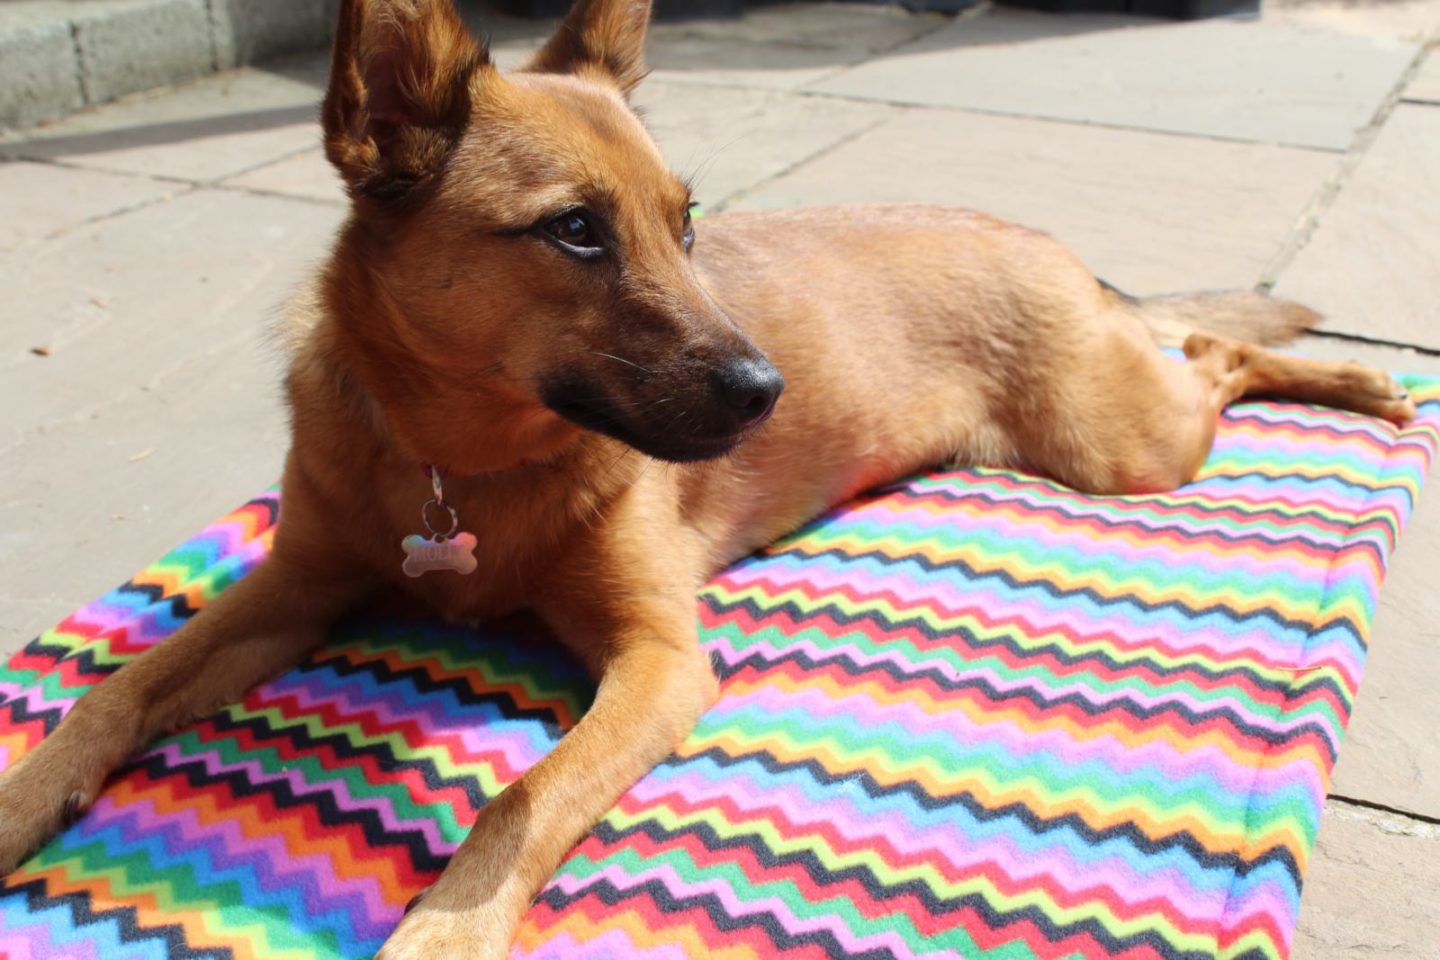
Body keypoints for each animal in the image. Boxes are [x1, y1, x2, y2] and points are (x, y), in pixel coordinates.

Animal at [0, 0, 1416, 955]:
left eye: (687, 224)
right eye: (575, 230)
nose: (768, 390)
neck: (460, 464)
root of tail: (1049, 243)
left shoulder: (660, 659)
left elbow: (522, 801)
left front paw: (446, 927)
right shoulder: (296, 589)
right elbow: (117, 691)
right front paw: (23, 796)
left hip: (1120, 443)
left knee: (1217, 352)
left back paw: (1362, 386)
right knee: (1205, 346)